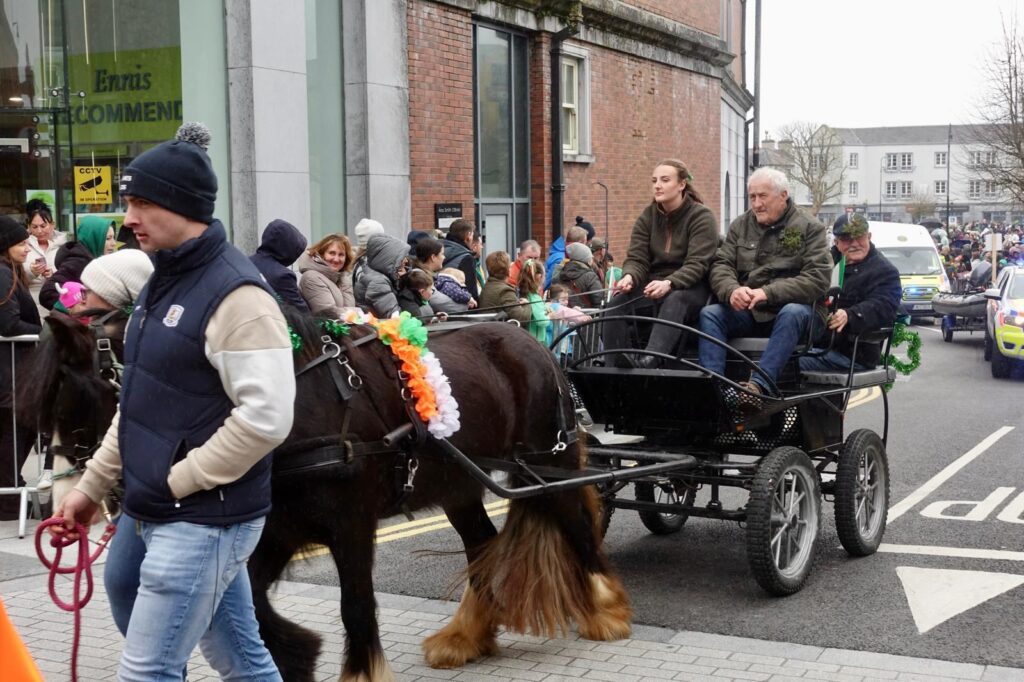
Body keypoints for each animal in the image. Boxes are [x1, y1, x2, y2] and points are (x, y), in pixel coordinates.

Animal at [19, 307, 632, 682]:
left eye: (74, 397)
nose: (59, 497)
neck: (288, 404)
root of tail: (530, 340)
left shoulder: (351, 526)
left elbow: (355, 606)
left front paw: (354, 668)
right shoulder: (277, 532)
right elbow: (252, 604)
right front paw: (296, 653)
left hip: (545, 467)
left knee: (578, 526)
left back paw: (607, 610)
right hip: (461, 484)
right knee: (482, 545)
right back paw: (466, 637)